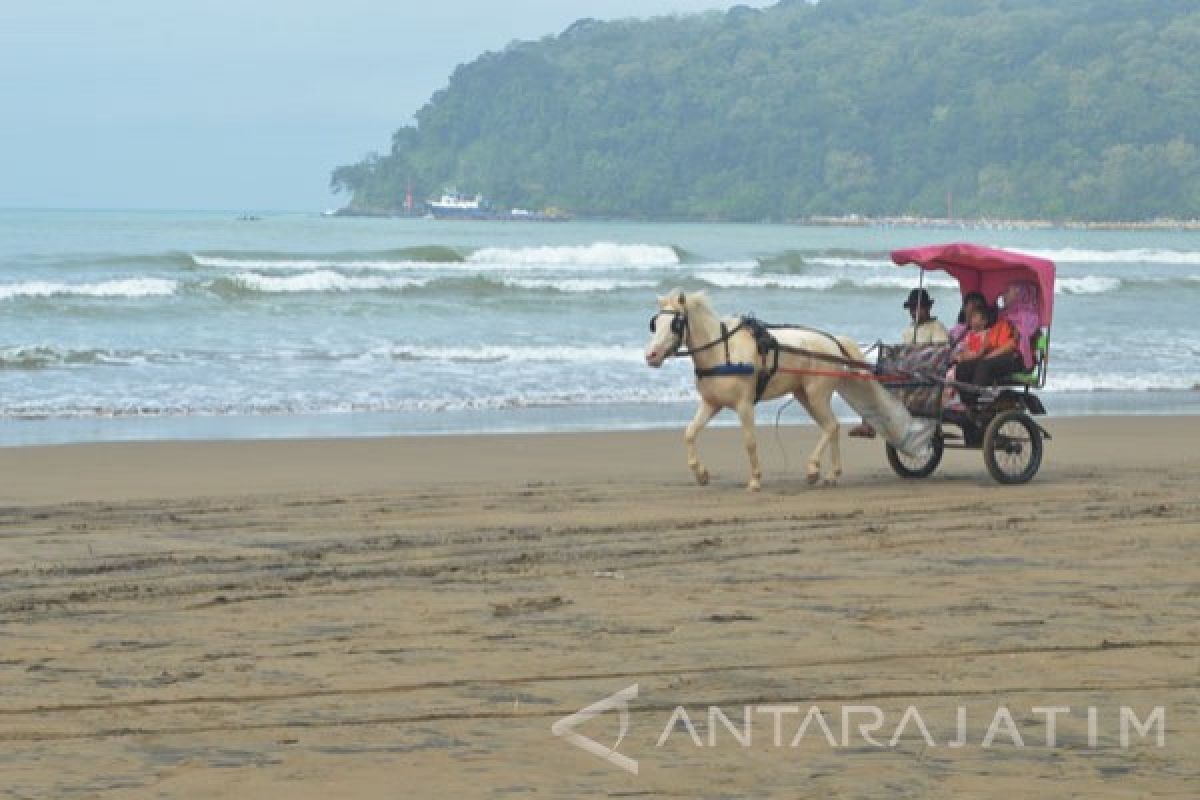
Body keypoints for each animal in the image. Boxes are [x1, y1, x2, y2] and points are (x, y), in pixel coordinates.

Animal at [648, 284, 873, 491]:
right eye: (655, 323)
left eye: (675, 324)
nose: (650, 355)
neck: (722, 351)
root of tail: (833, 341)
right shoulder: (711, 403)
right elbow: (690, 433)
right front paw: (701, 474)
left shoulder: (744, 404)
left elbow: (750, 442)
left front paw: (755, 479)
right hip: (804, 396)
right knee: (831, 427)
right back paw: (831, 473)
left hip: (816, 395)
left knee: (831, 426)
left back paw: (815, 469)